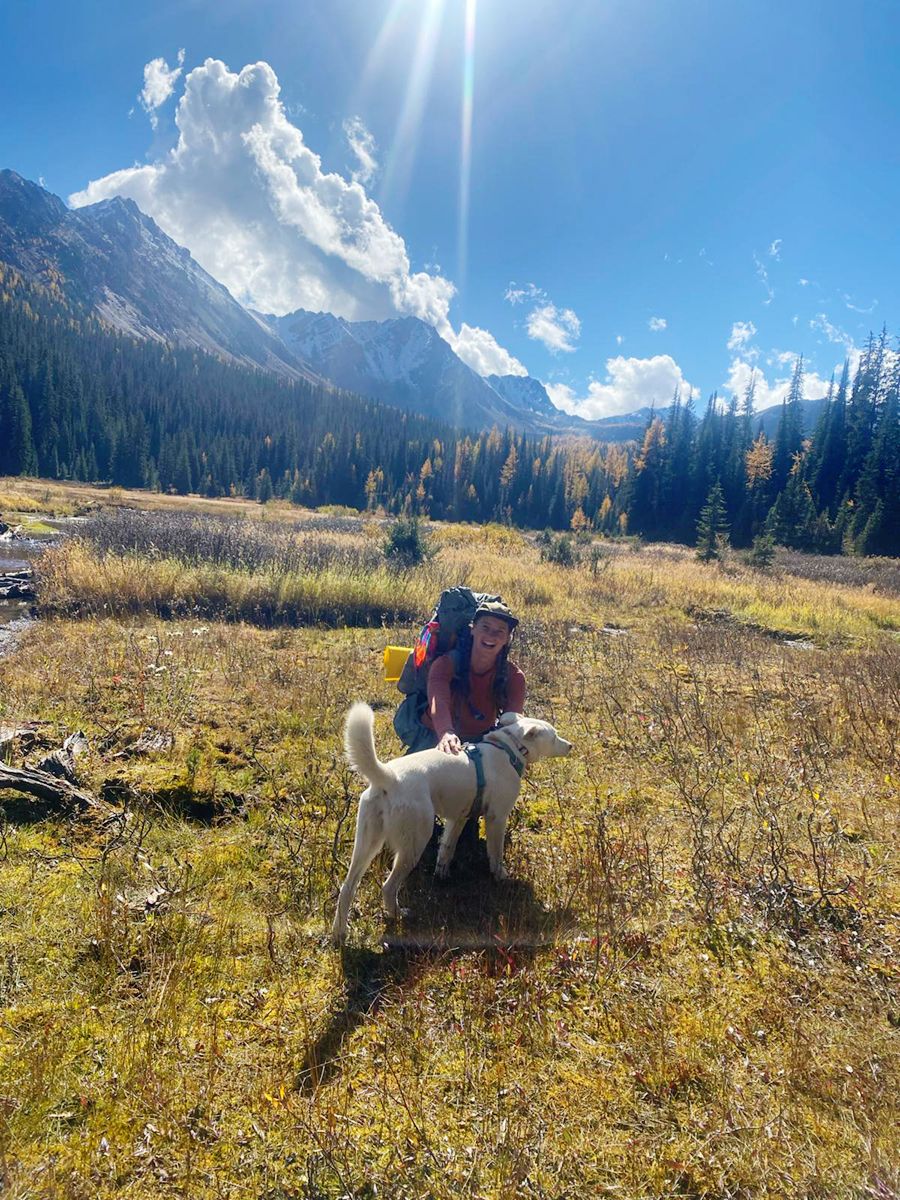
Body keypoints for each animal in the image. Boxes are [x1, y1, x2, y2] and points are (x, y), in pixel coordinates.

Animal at [331, 703, 572, 944]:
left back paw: (339, 933)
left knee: (347, 887)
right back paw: (397, 915)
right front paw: (501, 877)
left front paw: (442, 875)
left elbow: (446, 850)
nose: (571, 745)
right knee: (388, 887)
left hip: (366, 844)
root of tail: (388, 778)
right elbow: (495, 854)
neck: (508, 748)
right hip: (414, 843)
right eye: (554, 736)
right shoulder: (497, 818)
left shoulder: (458, 818)